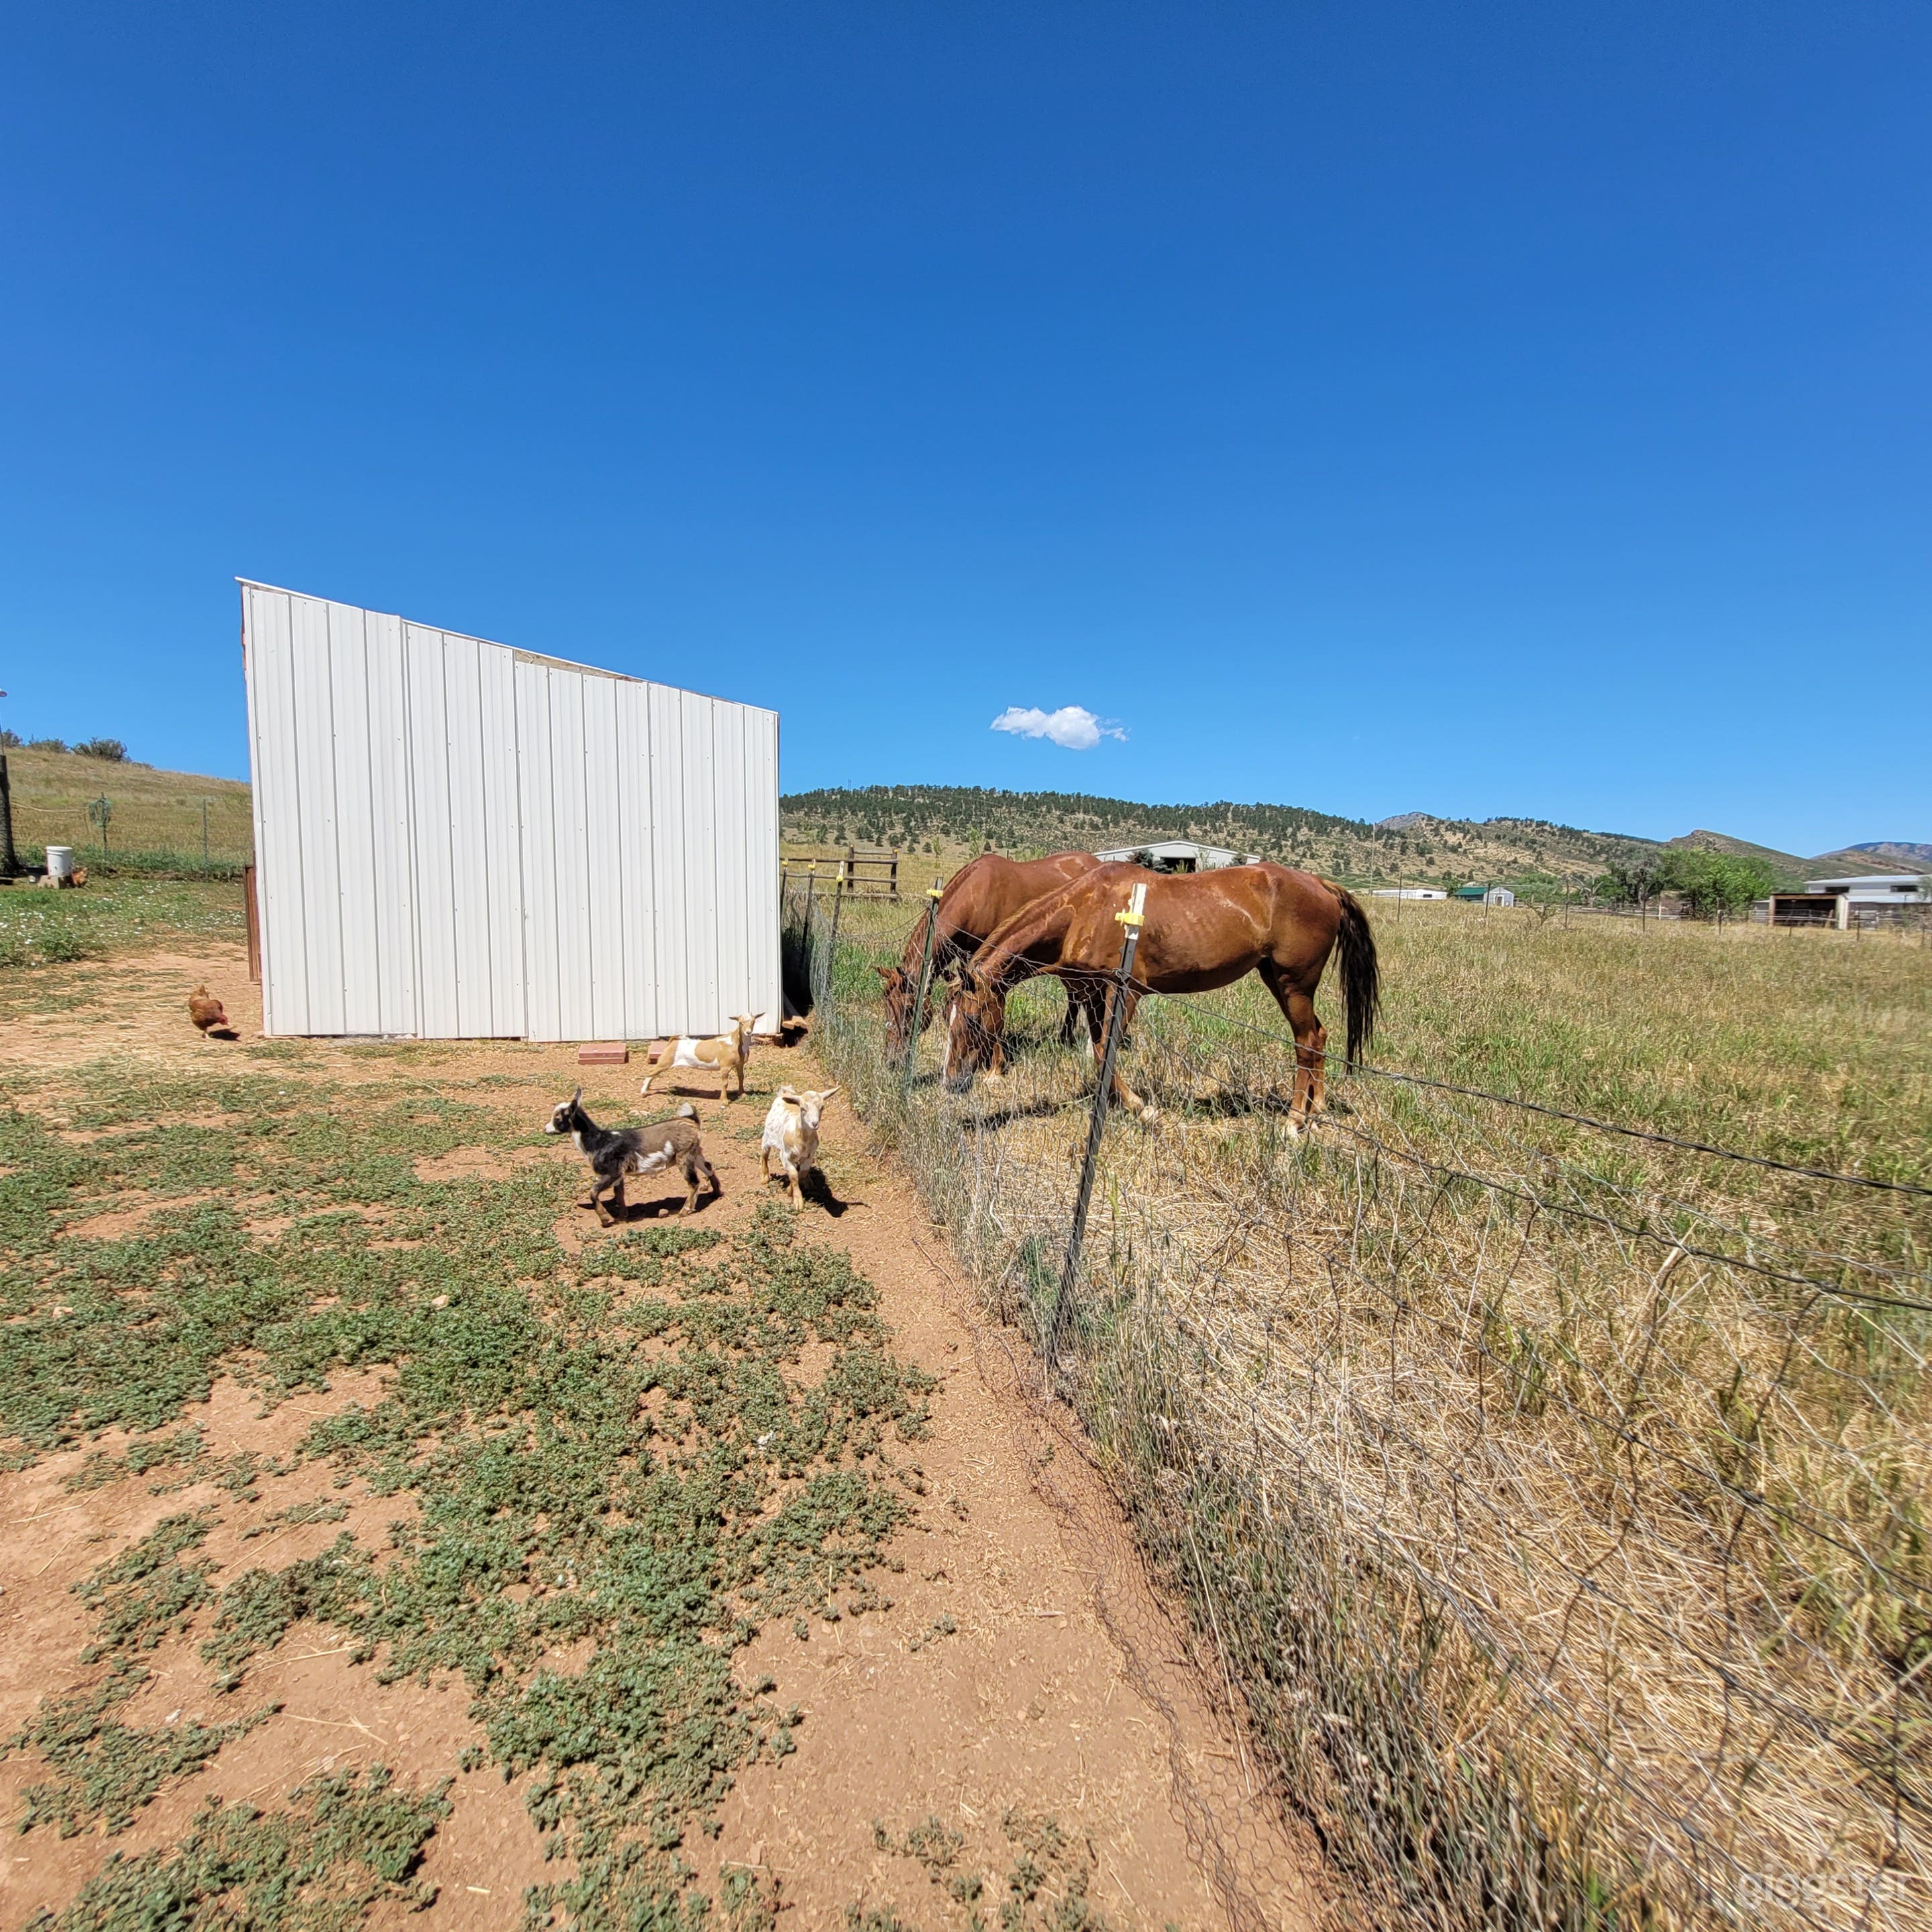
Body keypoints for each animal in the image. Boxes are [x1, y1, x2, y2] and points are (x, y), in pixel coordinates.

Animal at [940, 861, 1379, 1129]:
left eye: (973, 1020)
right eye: (947, 1019)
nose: (951, 1081)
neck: (1087, 909)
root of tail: (1322, 885)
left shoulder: (1128, 990)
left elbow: (1106, 1048)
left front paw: (1141, 1108)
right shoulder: (1095, 992)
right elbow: (1098, 1050)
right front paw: (1115, 1103)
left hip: (1294, 983)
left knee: (1306, 1042)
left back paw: (1294, 1121)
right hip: (1276, 978)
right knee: (1318, 1036)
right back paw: (1317, 1110)